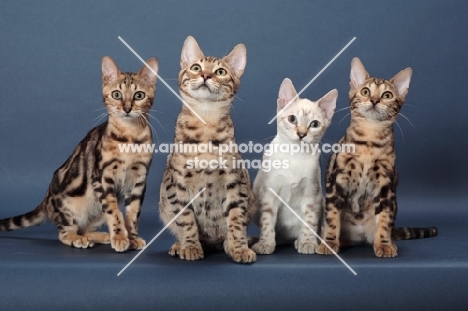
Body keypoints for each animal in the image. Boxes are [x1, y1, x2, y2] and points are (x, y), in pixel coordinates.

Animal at [0, 56, 159, 254]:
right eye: (117, 95)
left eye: (138, 95)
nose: (127, 109)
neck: (129, 138)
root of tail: (45, 201)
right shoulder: (102, 178)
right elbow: (114, 212)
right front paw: (120, 238)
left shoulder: (139, 179)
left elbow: (133, 214)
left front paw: (132, 237)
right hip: (70, 207)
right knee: (65, 233)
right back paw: (80, 239)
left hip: (97, 210)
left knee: (85, 228)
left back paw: (101, 236)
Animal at [160, 35, 256, 264]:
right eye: (196, 67)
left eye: (220, 72)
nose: (205, 75)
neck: (205, 122)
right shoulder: (177, 185)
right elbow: (186, 220)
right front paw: (190, 246)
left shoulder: (236, 182)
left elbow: (236, 220)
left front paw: (240, 248)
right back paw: (181, 245)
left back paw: (230, 245)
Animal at [252, 79, 336, 255]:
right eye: (292, 119)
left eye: (314, 124)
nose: (302, 134)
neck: (294, 155)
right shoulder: (269, 193)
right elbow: (267, 221)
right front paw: (265, 243)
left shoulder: (311, 193)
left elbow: (310, 221)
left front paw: (308, 243)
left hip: (322, 201)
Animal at [316, 58, 436, 258]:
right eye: (365, 91)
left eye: (387, 95)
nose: (374, 100)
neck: (369, 141)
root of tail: (358, 236)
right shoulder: (336, 182)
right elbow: (332, 218)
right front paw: (330, 242)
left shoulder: (386, 187)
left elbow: (384, 220)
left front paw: (385, 245)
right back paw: (340, 240)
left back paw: (388, 242)